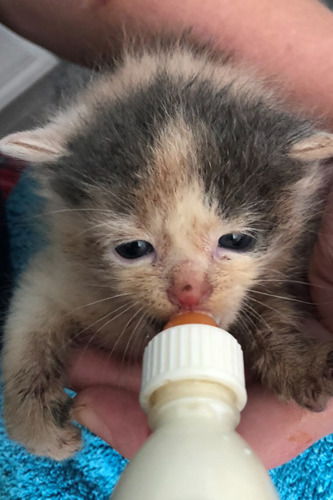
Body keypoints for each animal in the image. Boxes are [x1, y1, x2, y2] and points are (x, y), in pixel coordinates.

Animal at [0, 41, 332, 458]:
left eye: (236, 241)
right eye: (133, 248)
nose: (188, 290)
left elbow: (269, 306)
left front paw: (297, 361)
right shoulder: (62, 272)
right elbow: (28, 318)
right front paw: (38, 423)